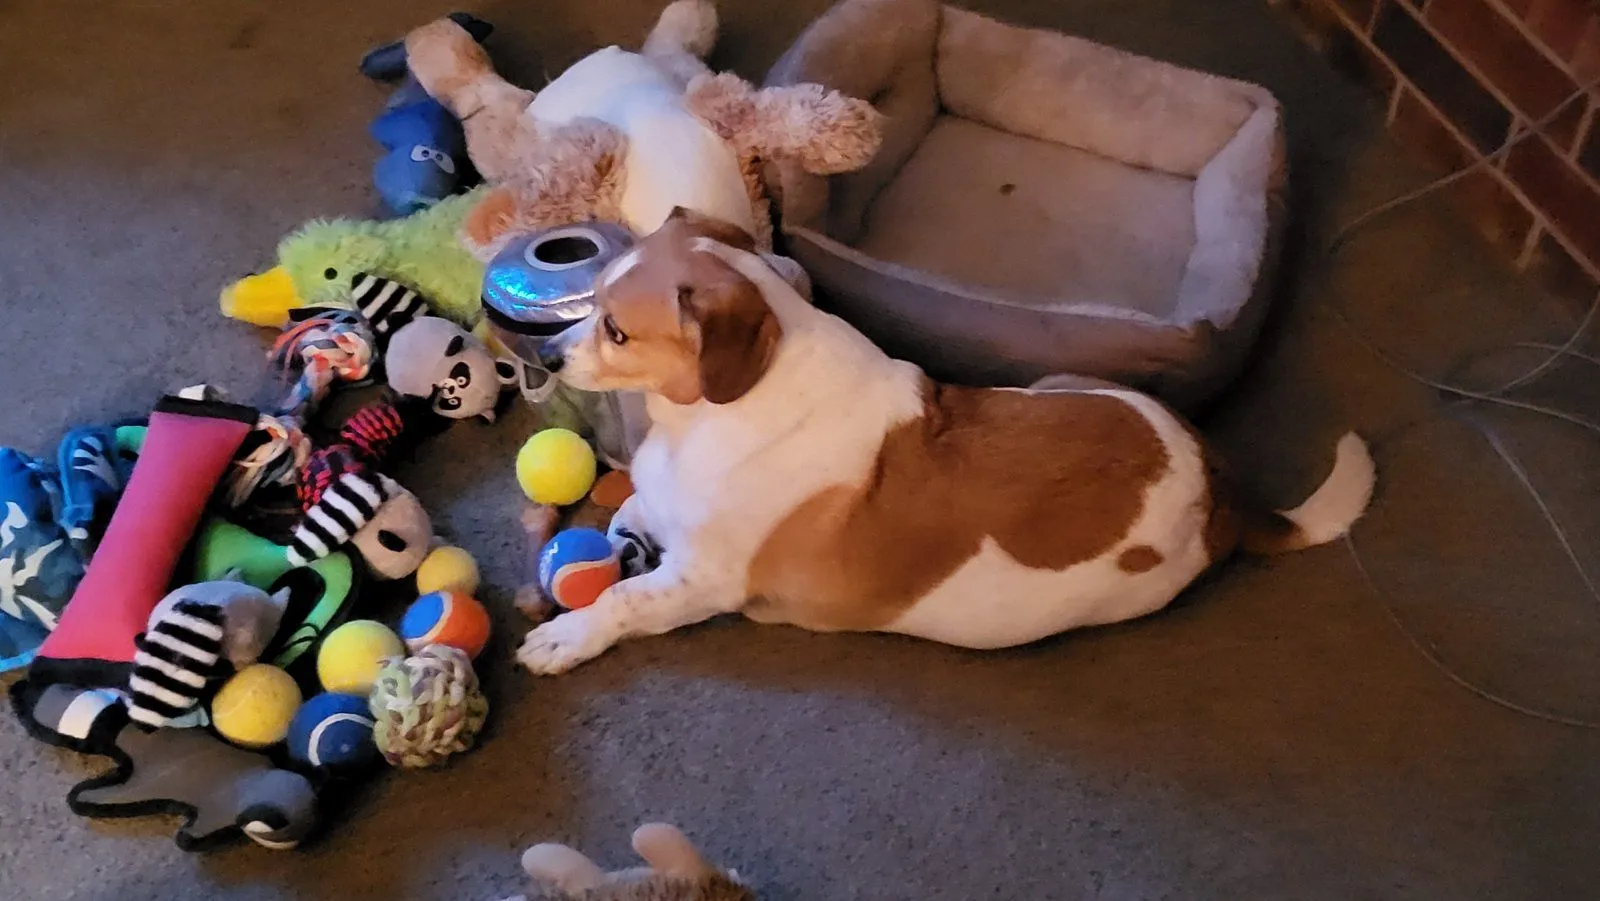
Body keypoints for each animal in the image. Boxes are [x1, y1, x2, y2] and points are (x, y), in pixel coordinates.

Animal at [517, 208, 1375, 674]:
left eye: (617, 328)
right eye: (591, 301)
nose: (546, 357)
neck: (702, 418)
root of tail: (1222, 485)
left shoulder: (706, 582)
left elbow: (623, 598)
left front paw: (566, 634)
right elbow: (629, 522)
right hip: (1055, 381)